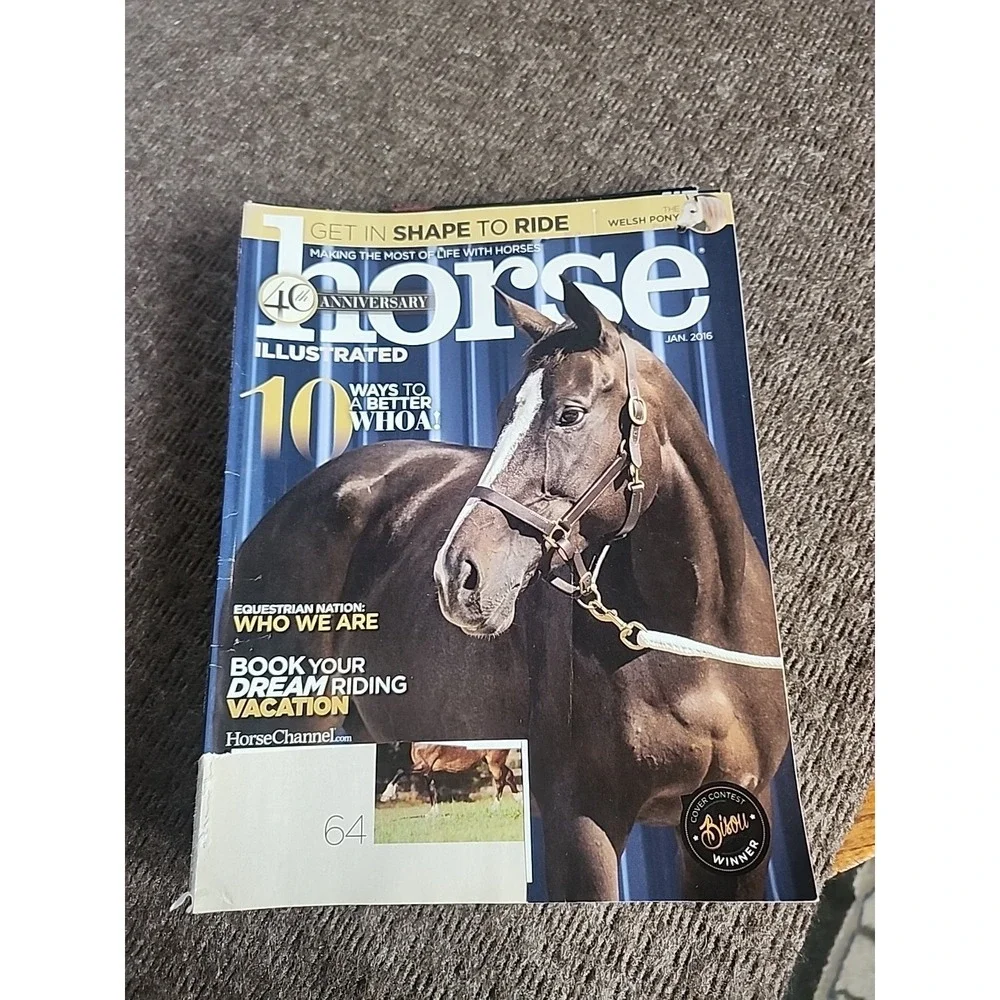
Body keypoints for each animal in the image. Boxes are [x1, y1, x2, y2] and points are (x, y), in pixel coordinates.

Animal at [379, 744, 519, 815]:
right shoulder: (429, 771)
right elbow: (432, 790)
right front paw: (433, 814)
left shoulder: (424, 766)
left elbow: (400, 771)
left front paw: (386, 795)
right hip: (492, 761)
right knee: (509, 775)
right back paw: (519, 801)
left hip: (494, 762)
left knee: (500, 782)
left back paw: (494, 808)